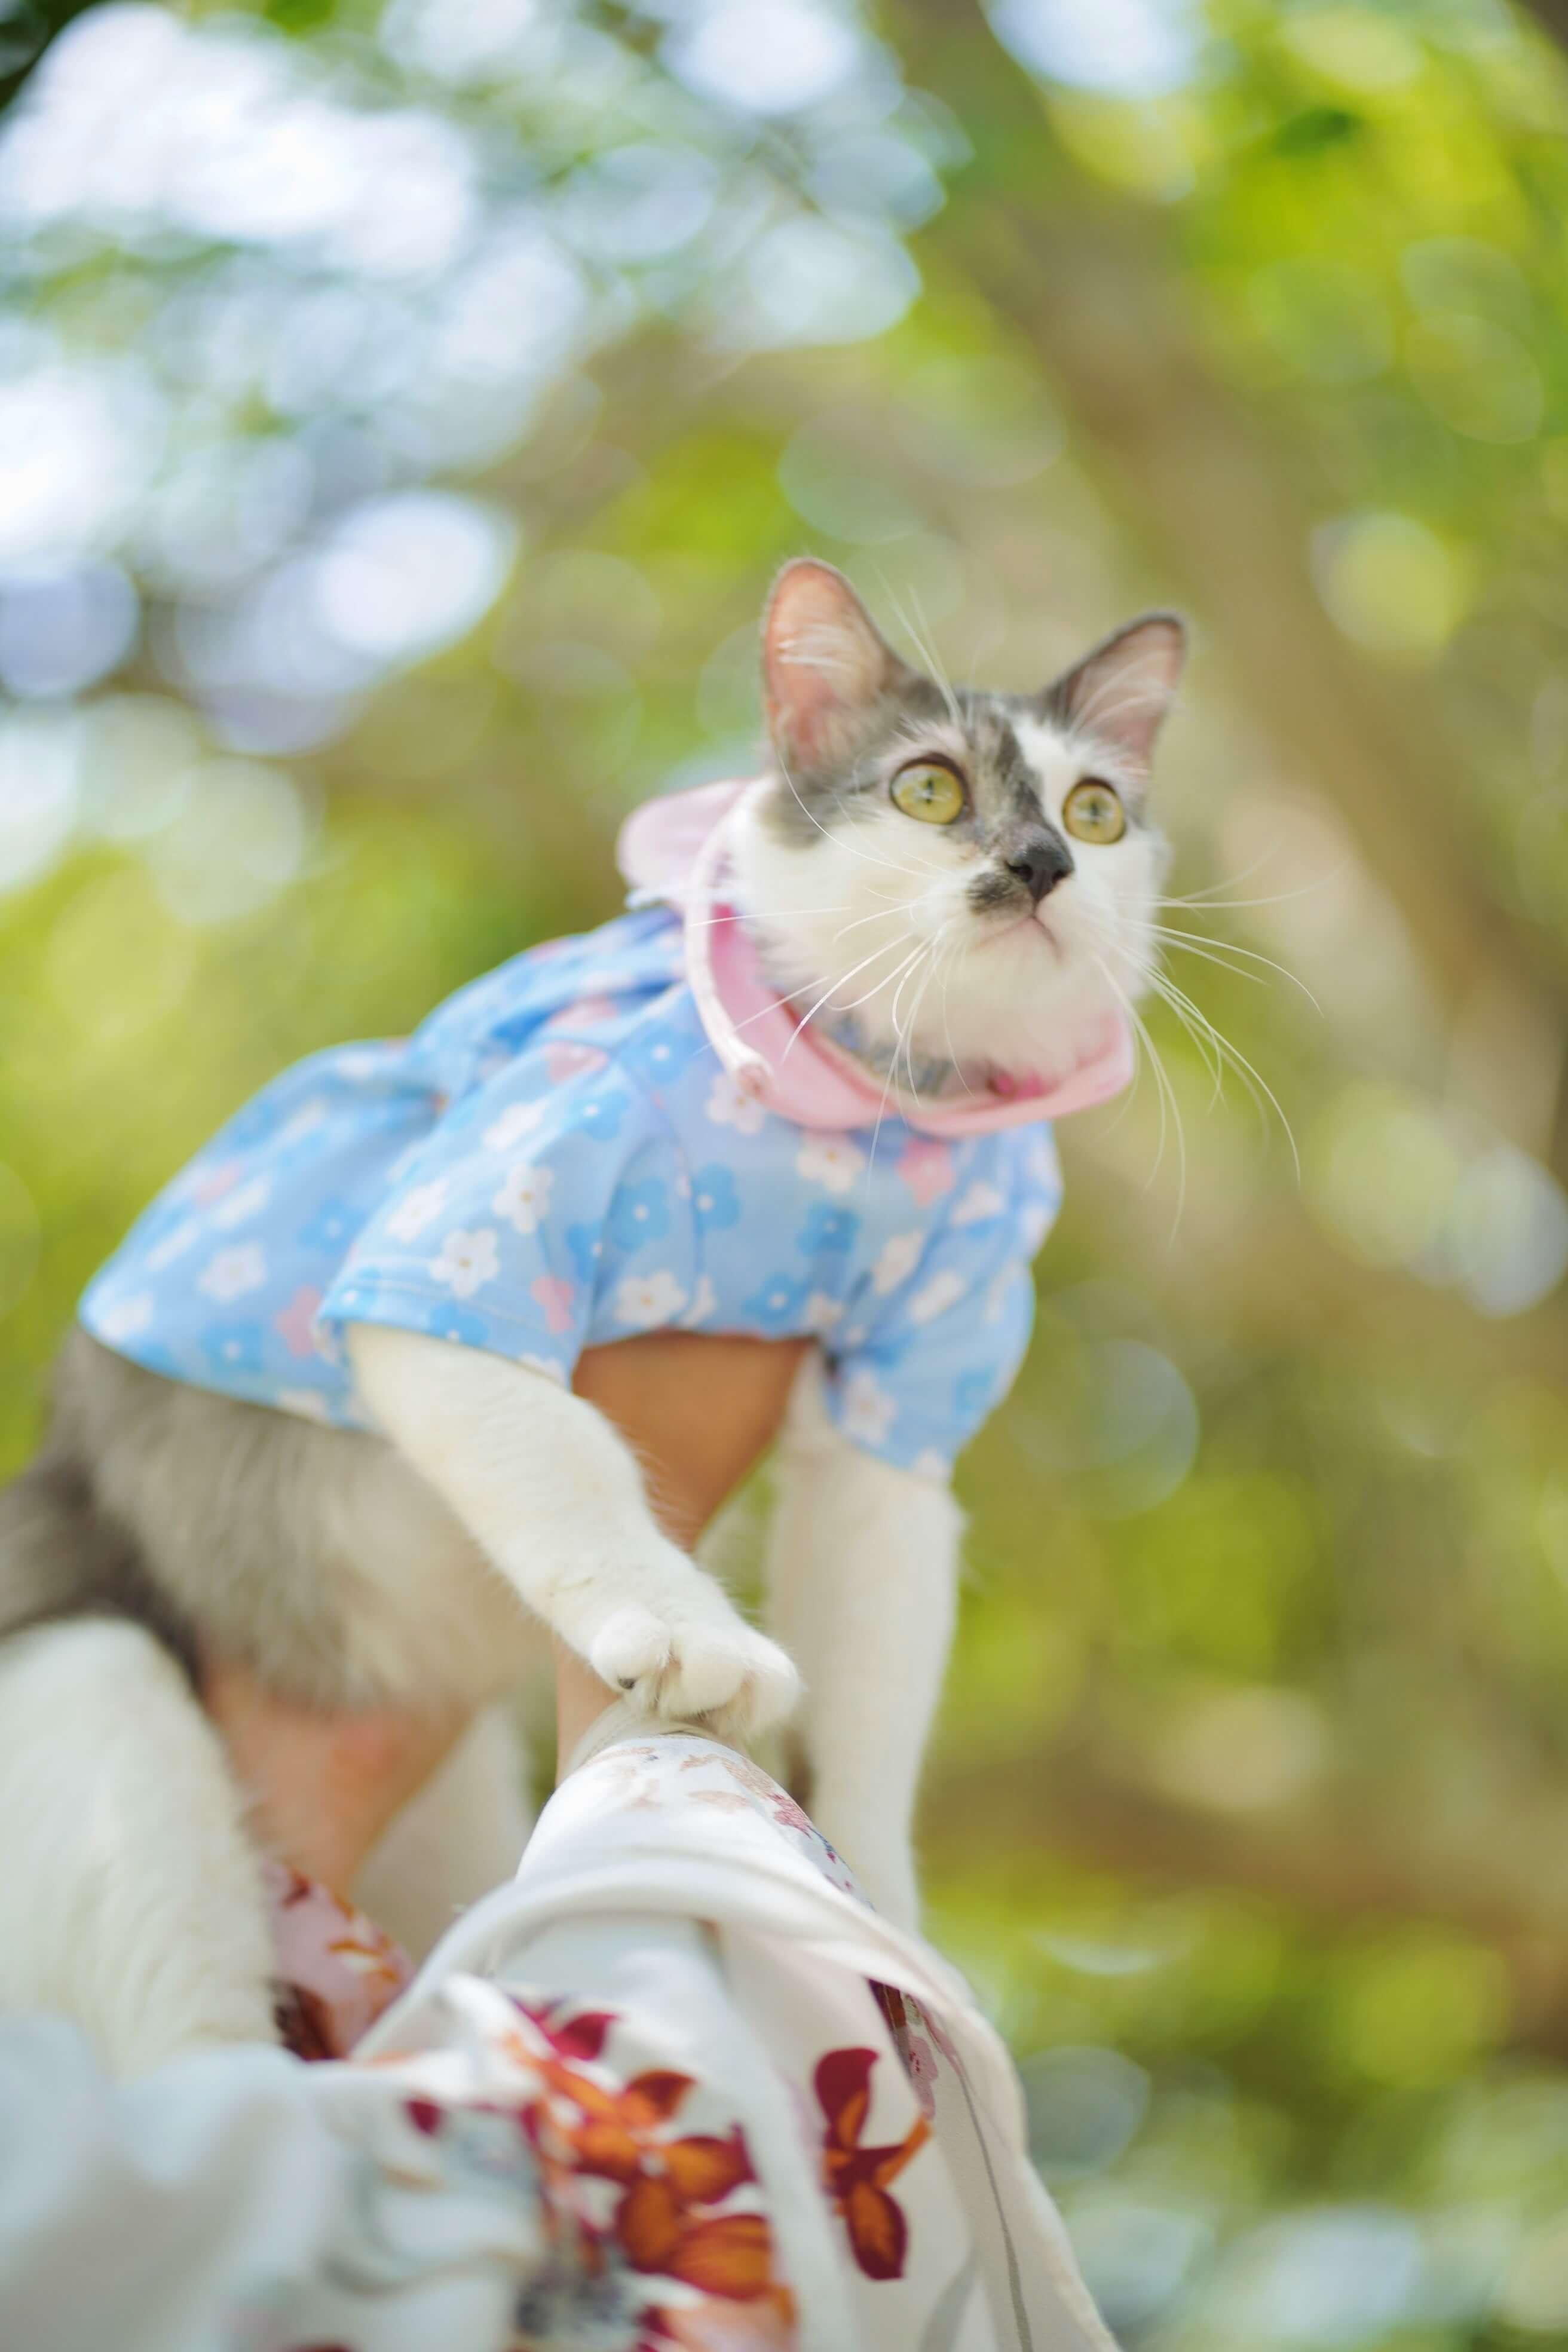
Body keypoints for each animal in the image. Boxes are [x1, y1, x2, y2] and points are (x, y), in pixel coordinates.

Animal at [0, 559, 1184, 2069]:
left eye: (1094, 812)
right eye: (926, 790)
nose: (1041, 866)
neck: (870, 1107)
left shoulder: (900, 1406)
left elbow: (875, 1679)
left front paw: (887, 1929)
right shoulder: (444, 1246)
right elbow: (561, 1455)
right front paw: (683, 1635)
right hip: (102, 1690)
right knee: (203, 2064)